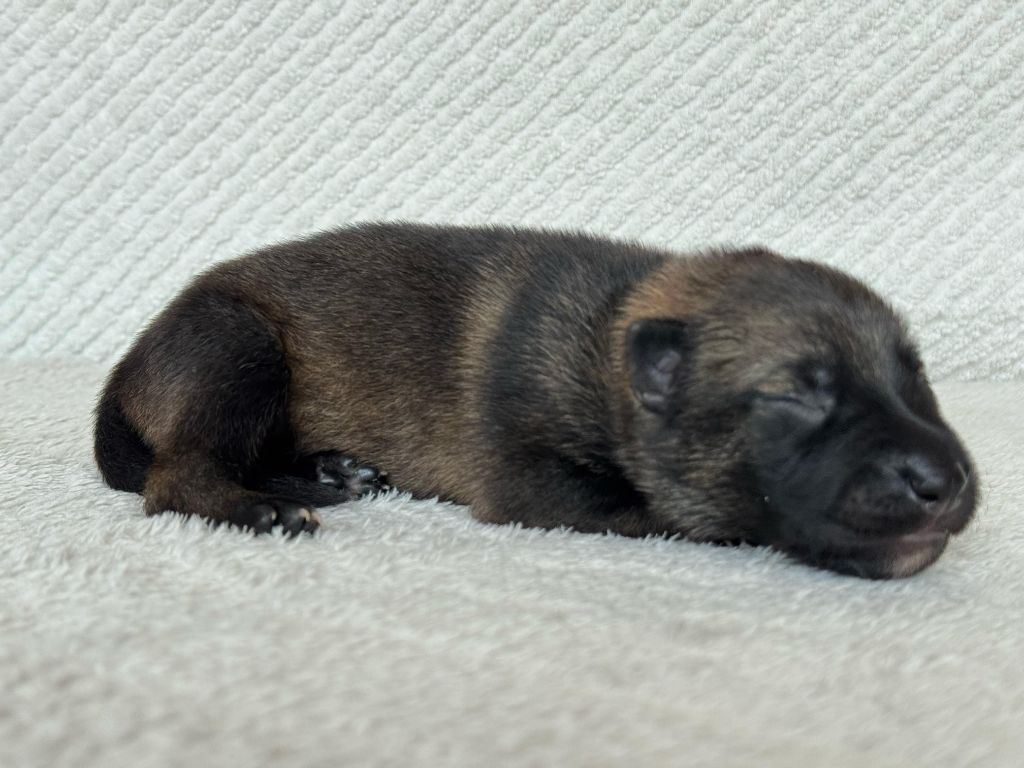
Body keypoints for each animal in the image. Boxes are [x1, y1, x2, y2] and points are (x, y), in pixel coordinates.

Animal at [94, 223, 978, 579]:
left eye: (915, 377)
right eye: (795, 396)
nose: (946, 483)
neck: (612, 339)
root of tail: (128, 366)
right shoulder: (531, 480)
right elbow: (653, 507)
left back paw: (330, 473)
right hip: (239, 345)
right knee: (175, 476)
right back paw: (263, 507)